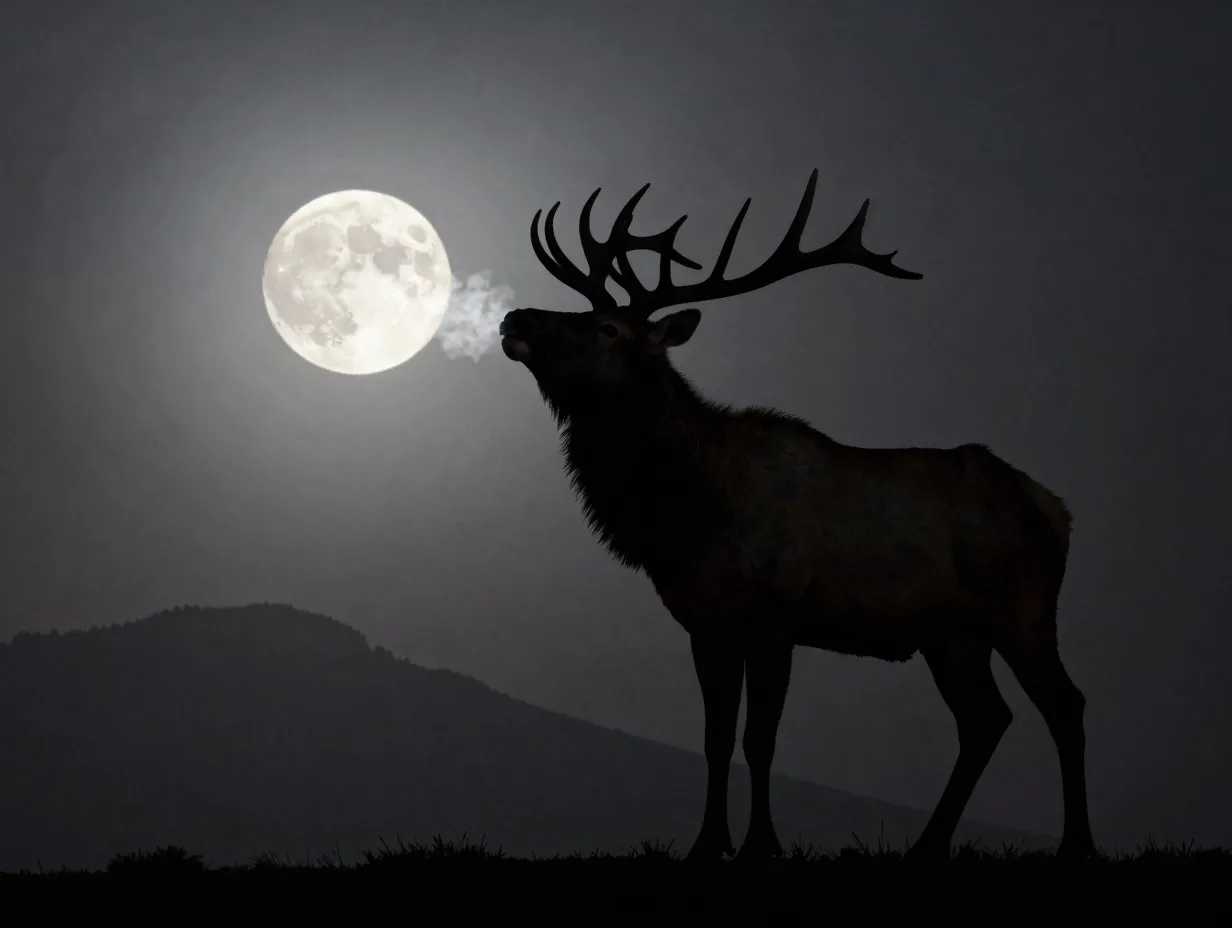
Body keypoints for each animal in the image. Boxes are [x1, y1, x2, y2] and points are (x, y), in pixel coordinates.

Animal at [498, 169, 1096, 862]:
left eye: (606, 328)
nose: (515, 317)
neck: (688, 515)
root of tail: (1054, 508)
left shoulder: (776, 616)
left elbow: (761, 740)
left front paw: (762, 845)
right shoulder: (704, 622)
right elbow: (715, 738)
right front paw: (708, 844)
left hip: (1023, 606)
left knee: (1065, 705)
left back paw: (1077, 846)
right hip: (952, 634)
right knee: (985, 720)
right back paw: (927, 845)